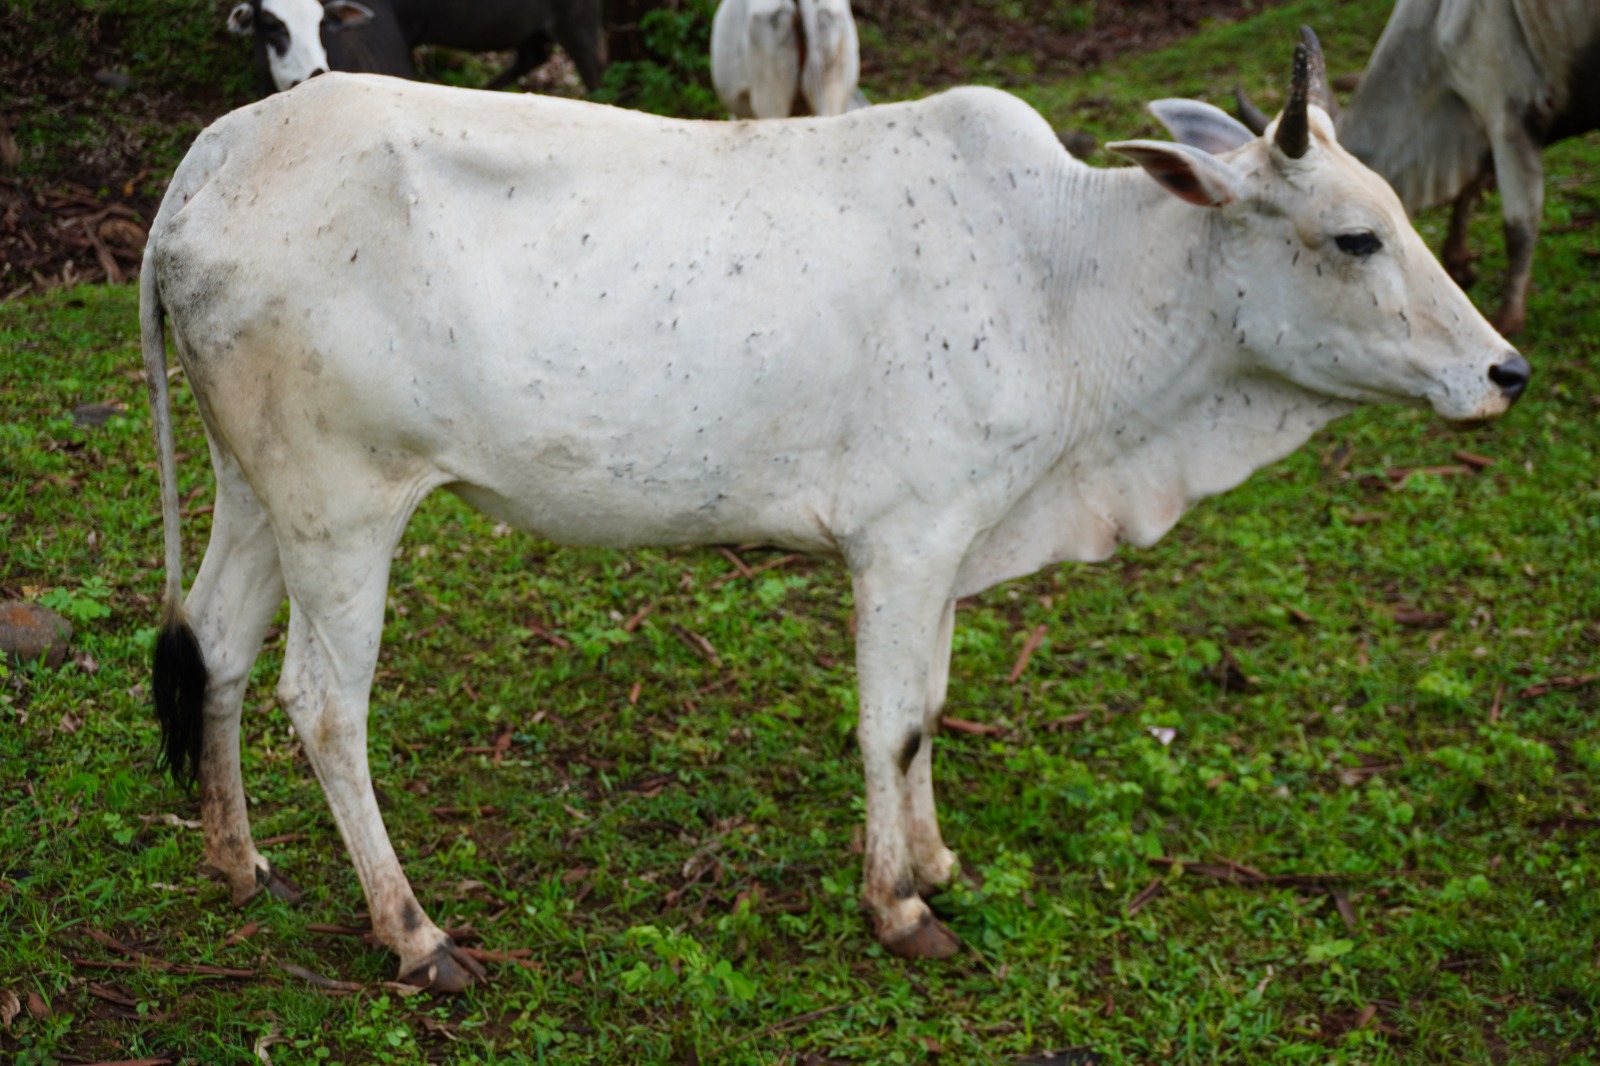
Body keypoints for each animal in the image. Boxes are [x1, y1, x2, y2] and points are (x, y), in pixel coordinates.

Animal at [140, 38, 1528, 991]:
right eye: (1353, 238)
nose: (1502, 371)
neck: (1063, 273)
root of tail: (208, 165)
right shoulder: (904, 539)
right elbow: (890, 723)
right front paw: (900, 906)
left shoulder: (953, 538)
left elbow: (927, 710)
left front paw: (937, 861)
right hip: (344, 503)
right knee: (324, 703)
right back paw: (416, 934)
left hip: (257, 490)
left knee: (215, 645)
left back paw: (237, 862)